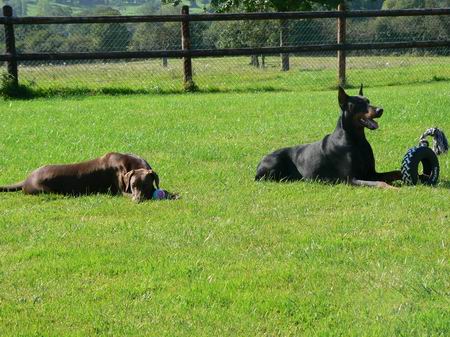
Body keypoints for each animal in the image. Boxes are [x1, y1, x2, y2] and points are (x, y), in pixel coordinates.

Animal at [256, 85, 400, 188]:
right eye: (359, 104)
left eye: (368, 101)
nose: (380, 110)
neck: (357, 141)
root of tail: (259, 163)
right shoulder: (350, 179)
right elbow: (380, 183)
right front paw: (394, 188)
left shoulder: (371, 173)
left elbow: (396, 172)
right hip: (274, 163)